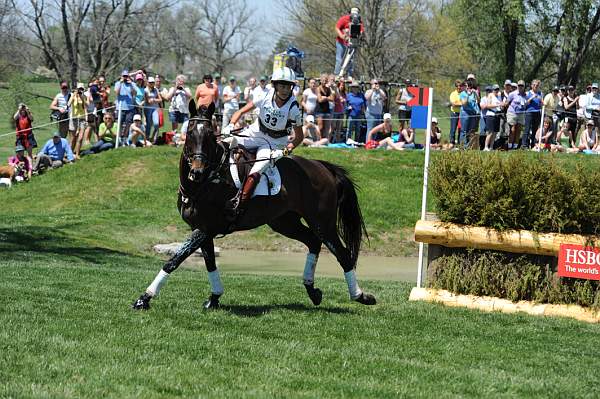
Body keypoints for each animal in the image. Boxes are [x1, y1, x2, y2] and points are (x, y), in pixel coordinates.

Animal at [134, 101, 376, 310]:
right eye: (190, 132)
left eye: (210, 135)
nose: (197, 171)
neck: (206, 183)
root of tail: (322, 167)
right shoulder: (202, 229)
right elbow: (209, 263)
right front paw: (214, 298)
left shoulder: (206, 228)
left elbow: (174, 260)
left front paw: (145, 298)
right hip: (284, 222)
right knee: (313, 242)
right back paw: (312, 291)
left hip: (322, 223)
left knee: (343, 255)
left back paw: (360, 295)